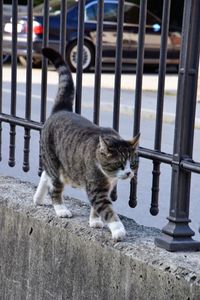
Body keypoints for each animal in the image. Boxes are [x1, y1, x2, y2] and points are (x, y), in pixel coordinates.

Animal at [33, 48, 140, 241]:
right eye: (119, 163)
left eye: (133, 163)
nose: (129, 172)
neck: (108, 175)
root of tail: (61, 110)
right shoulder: (96, 187)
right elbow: (106, 209)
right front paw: (118, 229)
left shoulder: (105, 187)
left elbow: (96, 209)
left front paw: (95, 220)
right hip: (54, 161)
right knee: (55, 186)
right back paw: (60, 209)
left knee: (46, 174)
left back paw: (38, 198)